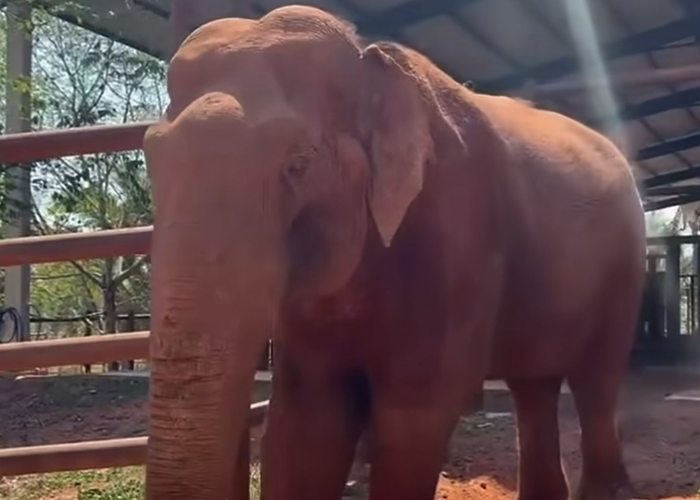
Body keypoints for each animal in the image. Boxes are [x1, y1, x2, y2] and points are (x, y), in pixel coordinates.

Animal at [143, 5, 646, 500]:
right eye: (150, 158)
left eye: (298, 166)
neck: (370, 62)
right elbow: (308, 422)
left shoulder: (457, 233)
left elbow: (413, 420)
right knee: (534, 385)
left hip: (625, 264)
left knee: (595, 382)